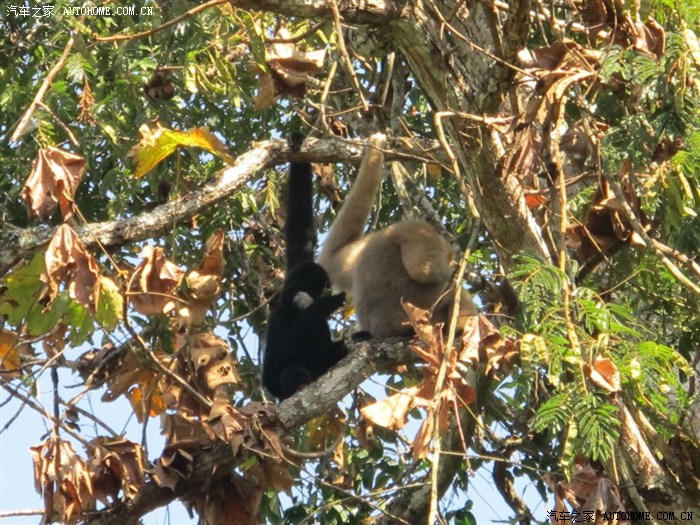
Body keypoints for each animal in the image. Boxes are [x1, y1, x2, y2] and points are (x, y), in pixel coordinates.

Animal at [262, 134, 347, 400]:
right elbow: (273, 370)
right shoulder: (279, 318)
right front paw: (327, 304)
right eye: (314, 287)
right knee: (292, 371)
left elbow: (302, 233)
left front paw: (298, 144)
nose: (317, 296)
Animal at [318, 133, 477, 338]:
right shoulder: (416, 228)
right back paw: (462, 326)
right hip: (424, 313)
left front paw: (372, 152)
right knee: (449, 289)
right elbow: (425, 272)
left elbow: (329, 258)